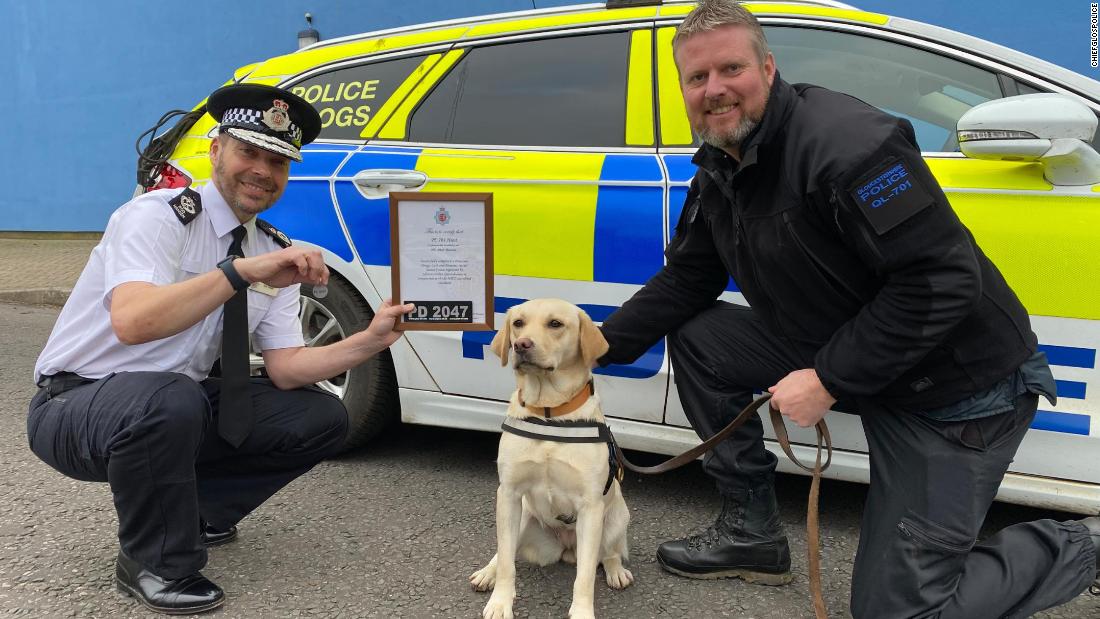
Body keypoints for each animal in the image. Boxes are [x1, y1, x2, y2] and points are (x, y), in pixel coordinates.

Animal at [473, 296, 638, 615]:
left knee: (608, 553)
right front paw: (500, 602)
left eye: (555, 324)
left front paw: (583, 612)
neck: (549, 413)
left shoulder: (590, 506)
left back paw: (616, 571)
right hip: (523, 517)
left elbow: (585, 576)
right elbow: (507, 563)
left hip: (616, 517)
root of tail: (567, 548)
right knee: (503, 551)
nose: (521, 344)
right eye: (518, 323)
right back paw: (488, 571)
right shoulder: (508, 493)